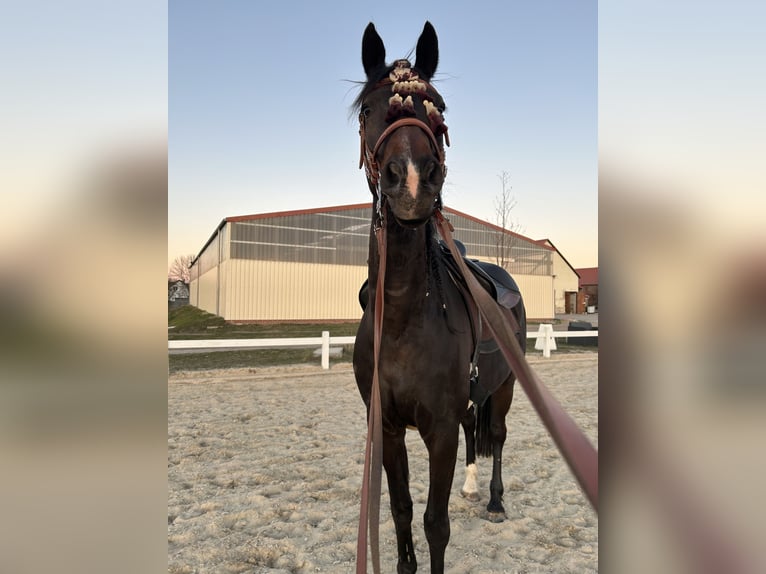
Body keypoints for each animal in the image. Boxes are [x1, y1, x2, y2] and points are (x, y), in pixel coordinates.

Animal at [352, 22, 527, 573]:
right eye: (367, 110)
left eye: (439, 107)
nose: (411, 179)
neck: (404, 317)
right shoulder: (387, 429)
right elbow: (402, 511)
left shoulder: (440, 430)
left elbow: (435, 523)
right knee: (478, 430)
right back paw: (473, 489)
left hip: (505, 388)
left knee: (497, 436)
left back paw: (493, 501)